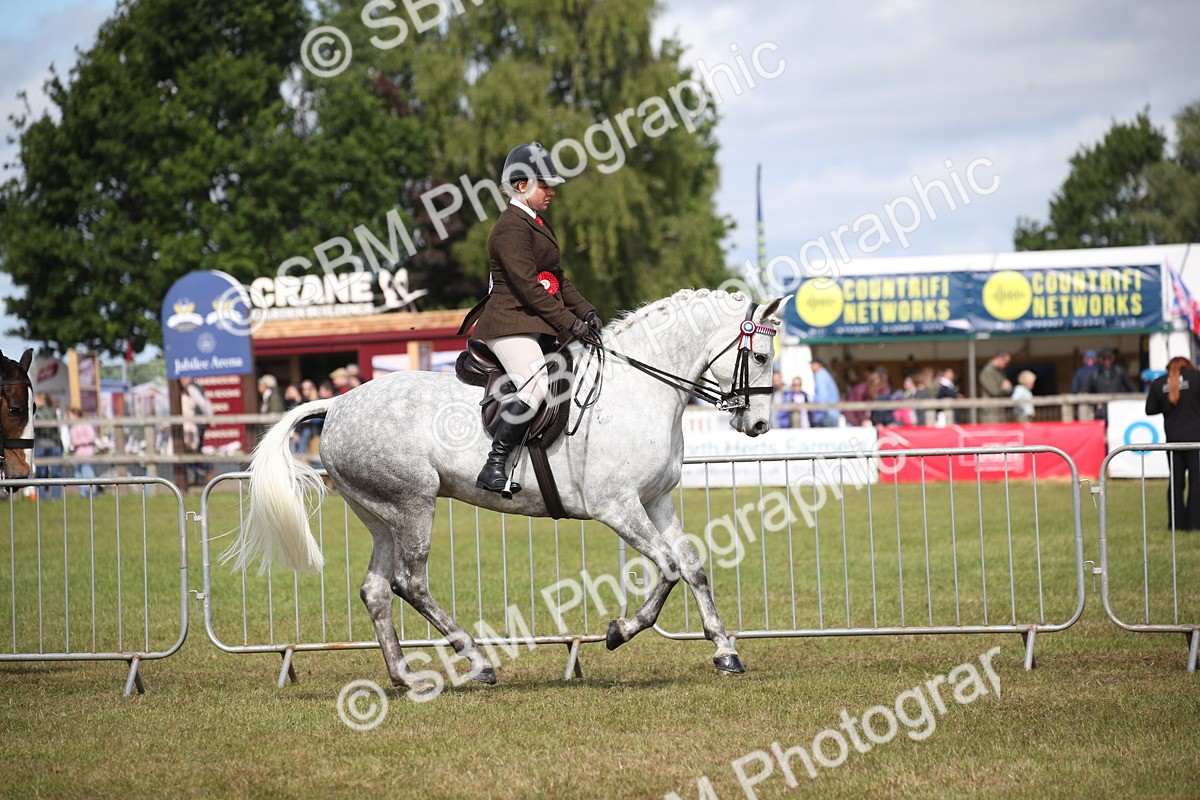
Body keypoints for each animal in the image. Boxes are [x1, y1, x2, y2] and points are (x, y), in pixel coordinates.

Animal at [223, 289, 790, 693]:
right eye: (762, 356)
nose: (760, 424)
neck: (640, 390)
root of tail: (337, 403)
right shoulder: (617, 507)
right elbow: (669, 568)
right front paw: (619, 631)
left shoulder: (656, 500)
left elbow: (693, 568)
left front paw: (725, 650)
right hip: (414, 503)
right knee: (411, 582)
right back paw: (476, 662)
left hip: (380, 514)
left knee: (377, 590)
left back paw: (405, 676)